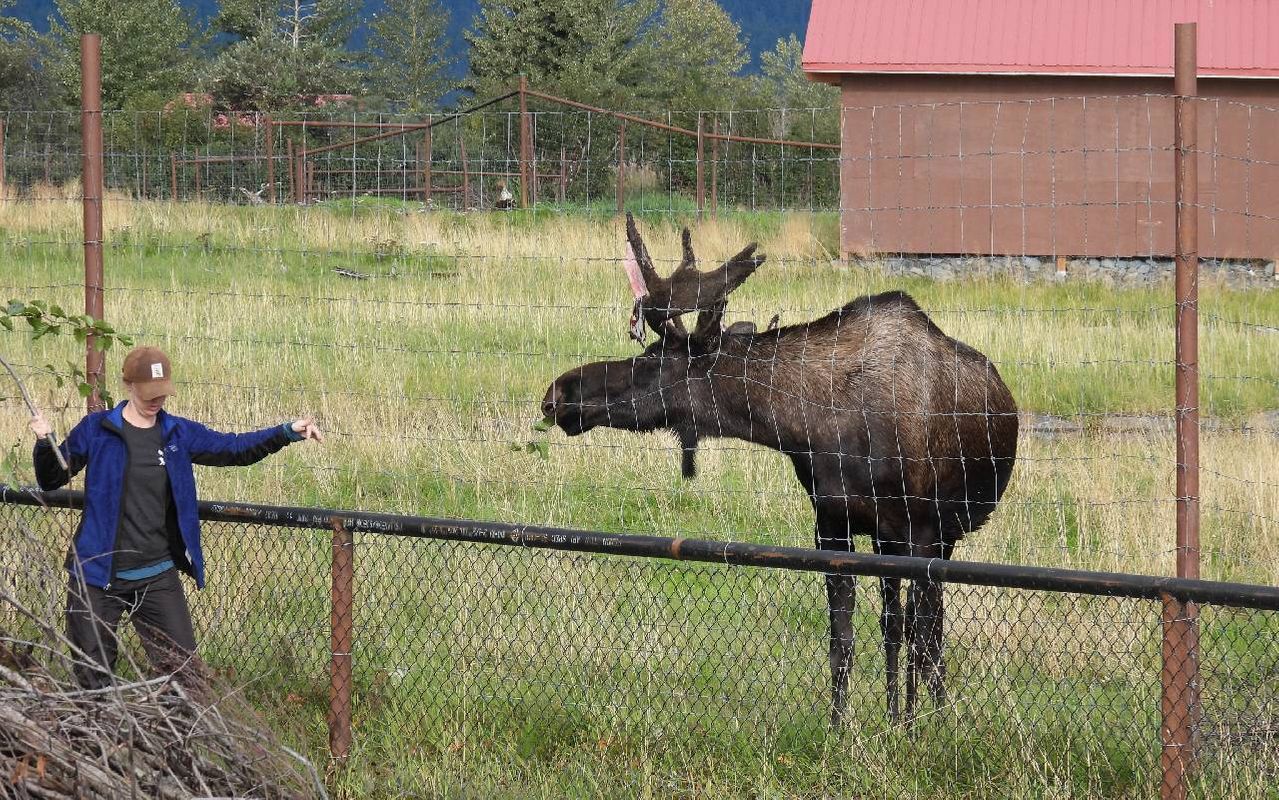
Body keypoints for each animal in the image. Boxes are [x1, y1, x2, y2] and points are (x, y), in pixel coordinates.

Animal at [542, 215, 1018, 721]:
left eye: (650, 360)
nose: (558, 393)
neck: (813, 426)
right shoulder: (832, 526)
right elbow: (843, 644)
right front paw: (841, 728)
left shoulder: (924, 533)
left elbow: (924, 643)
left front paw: (925, 728)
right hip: (888, 539)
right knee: (895, 625)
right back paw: (893, 715)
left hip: (939, 536)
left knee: (921, 634)